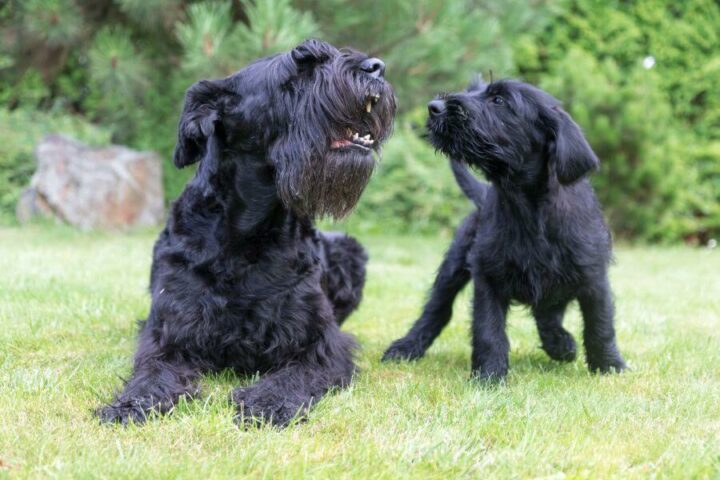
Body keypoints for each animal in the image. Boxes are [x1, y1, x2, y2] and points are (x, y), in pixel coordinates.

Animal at [96, 39, 396, 426]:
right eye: (298, 68)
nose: (377, 67)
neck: (249, 232)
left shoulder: (321, 344)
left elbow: (293, 374)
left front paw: (268, 401)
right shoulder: (169, 333)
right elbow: (153, 371)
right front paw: (131, 403)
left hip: (350, 251)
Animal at [382, 79, 624, 380]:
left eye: (499, 101)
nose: (434, 107)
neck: (526, 207)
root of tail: (483, 194)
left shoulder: (593, 277)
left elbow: (600, 324)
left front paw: (609, 365)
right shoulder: (488, 277)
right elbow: (488, 330)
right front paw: (489, 376)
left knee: (547, 314)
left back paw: (560, 344)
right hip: (452, 268)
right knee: (436, 310)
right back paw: (406, 347)